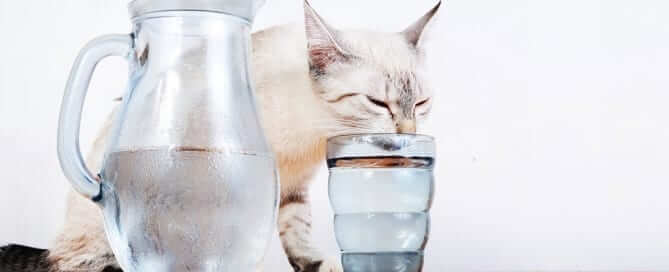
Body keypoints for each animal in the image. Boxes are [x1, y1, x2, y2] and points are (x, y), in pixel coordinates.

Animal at [3, 0, 438, 272]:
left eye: (421, 104)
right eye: (378, 104)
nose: (408, 134)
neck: (313, 133)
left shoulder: (291, 188)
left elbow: (298, 233)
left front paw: (317, 265)